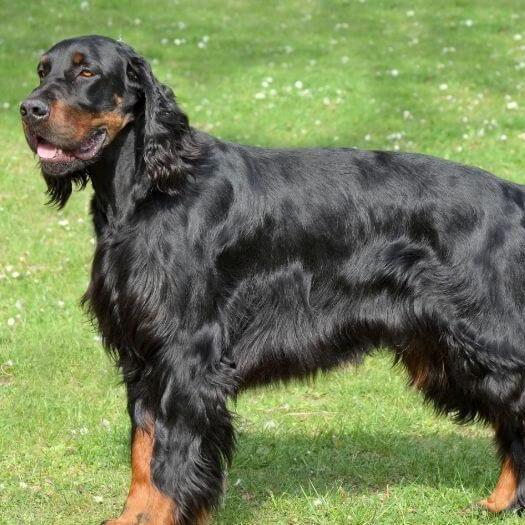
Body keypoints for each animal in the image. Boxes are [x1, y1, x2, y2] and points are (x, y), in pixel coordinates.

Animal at [20, 34, 525, 520]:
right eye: (42, 70)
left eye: (87, 71)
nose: (28, 108)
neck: (150, 190)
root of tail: (513, 195)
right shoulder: (141, 352)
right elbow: (144, 452)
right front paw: (134, 517)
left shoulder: (185, 353)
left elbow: (170, 457)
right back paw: (501, 503)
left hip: (484, 338)